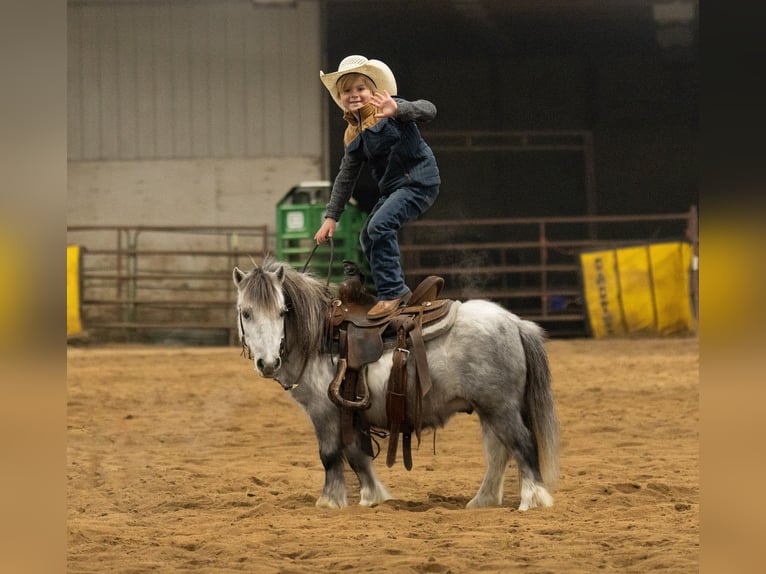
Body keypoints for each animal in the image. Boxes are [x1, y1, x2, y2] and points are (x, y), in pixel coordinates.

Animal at [232, 257, 559, 511]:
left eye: (282, 311)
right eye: (245, 313)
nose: (268, 363)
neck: (319, 337)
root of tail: (515, 323)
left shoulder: (324, 412)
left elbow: (330, 454)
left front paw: (330, 500)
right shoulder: (351, 414)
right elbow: (358, 456)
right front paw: (373, 497)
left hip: (500, 406)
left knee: (521, 444)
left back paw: (533, 498)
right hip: (489, 409)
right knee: (498, 451)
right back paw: (484, 500)